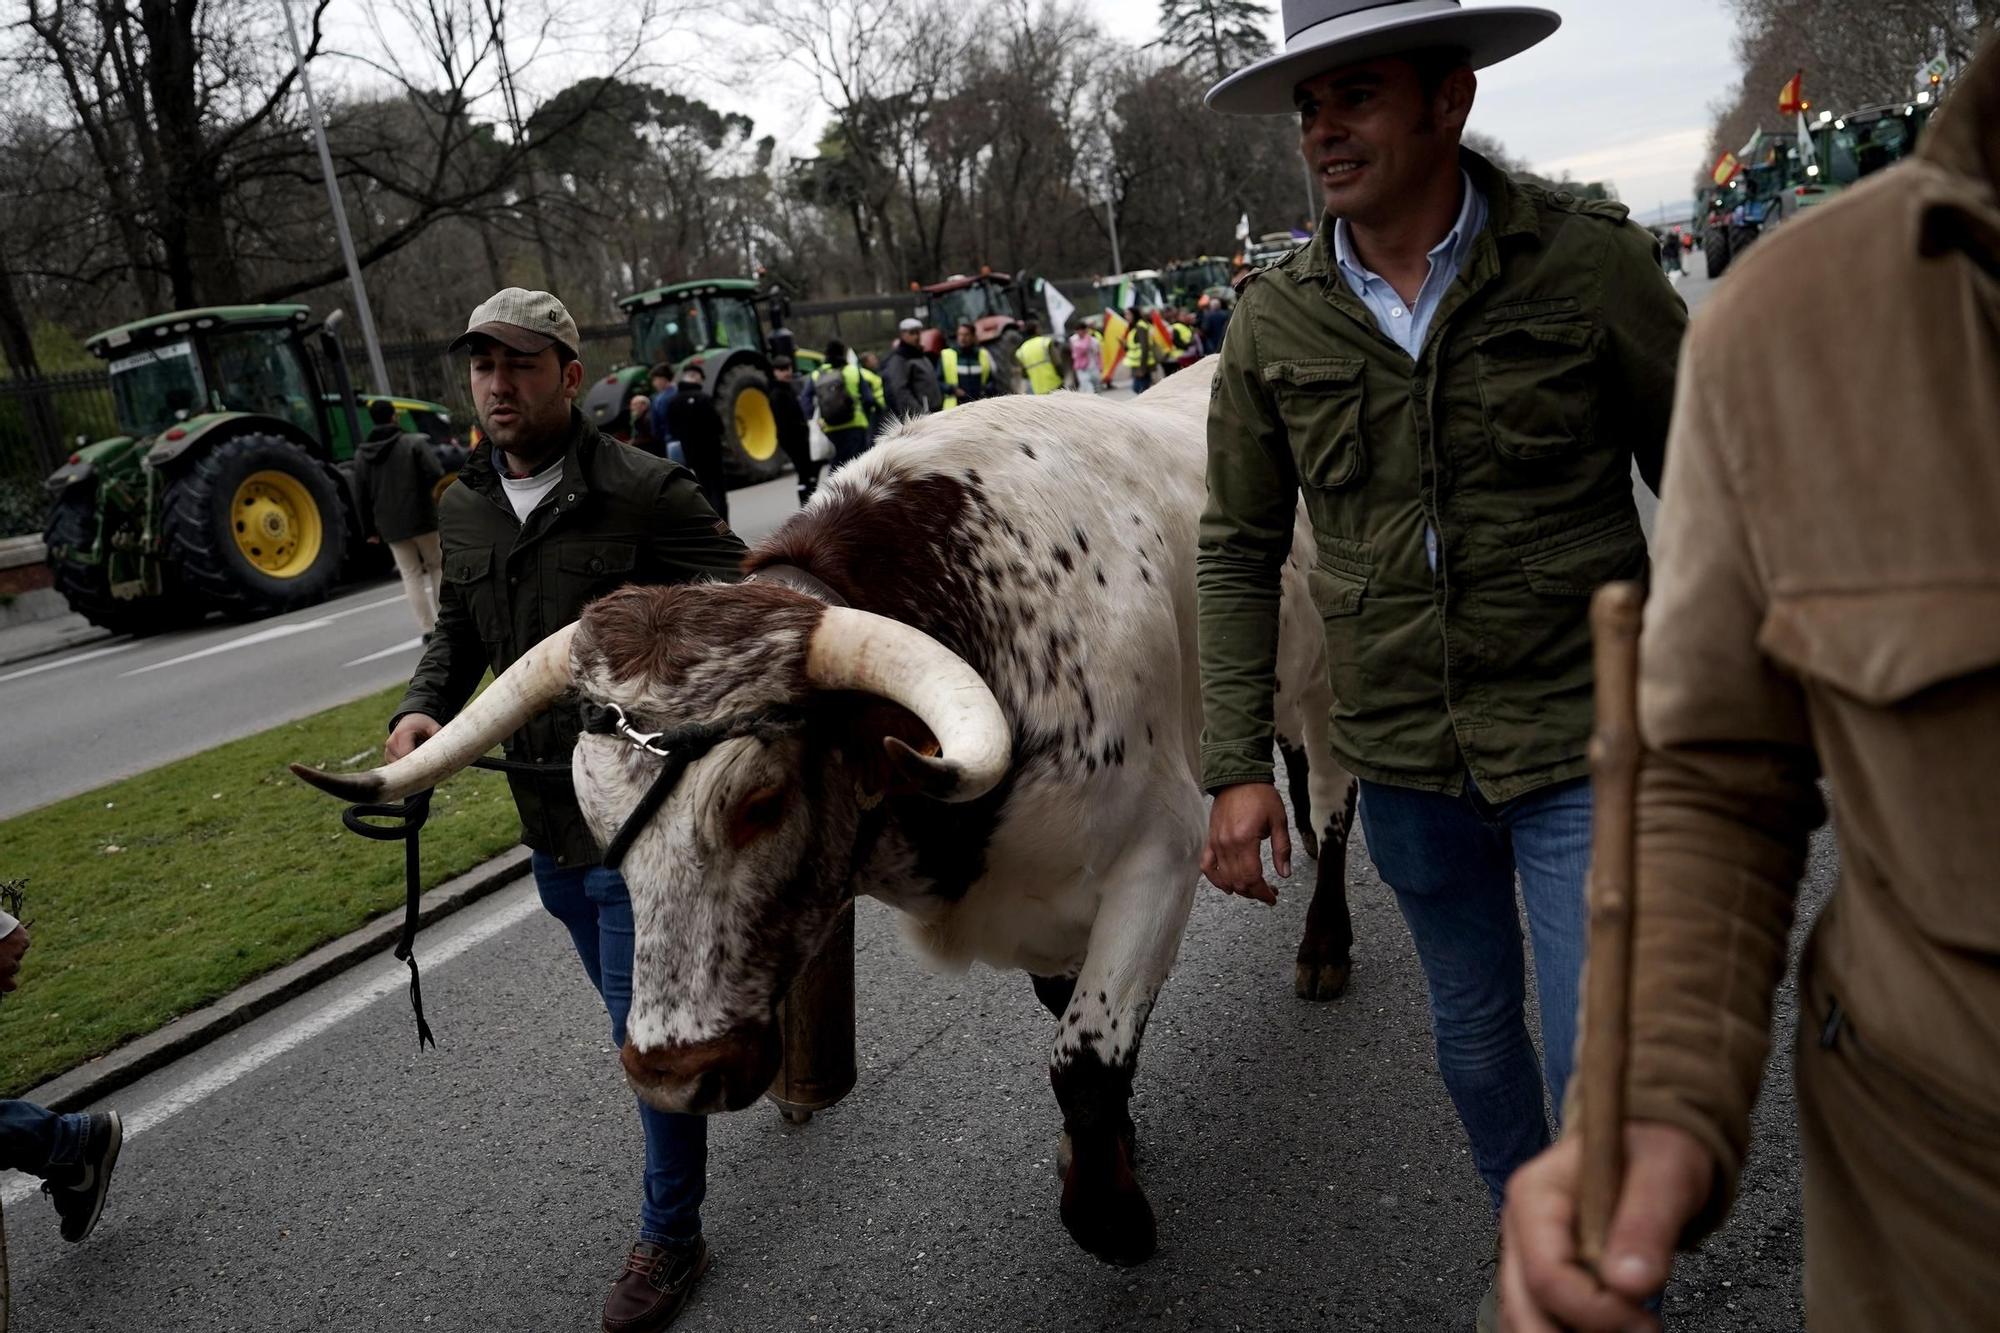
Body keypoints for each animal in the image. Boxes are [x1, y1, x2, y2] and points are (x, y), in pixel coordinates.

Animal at [292, 358, 1360, 1264]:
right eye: (595, 815)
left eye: (761, 799)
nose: (671, 1074)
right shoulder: (1043, 905)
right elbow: (1070, 1021)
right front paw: (1111, 1150)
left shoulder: (1159, 854)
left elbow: (1084, 1057)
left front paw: (1108, 1211)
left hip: (1334, 694)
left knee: (1335, 810)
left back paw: (1324, 946)